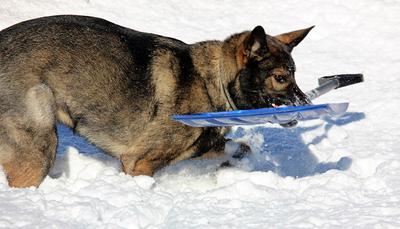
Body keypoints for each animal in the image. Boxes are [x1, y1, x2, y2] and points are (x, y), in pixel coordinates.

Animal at [0, 14, 312, 188]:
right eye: (281, 78)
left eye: (295, 74)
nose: (306, 103)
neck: (213, 81)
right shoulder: (139, 163)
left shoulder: (201, 147)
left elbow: (238, 147)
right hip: (38, 147)